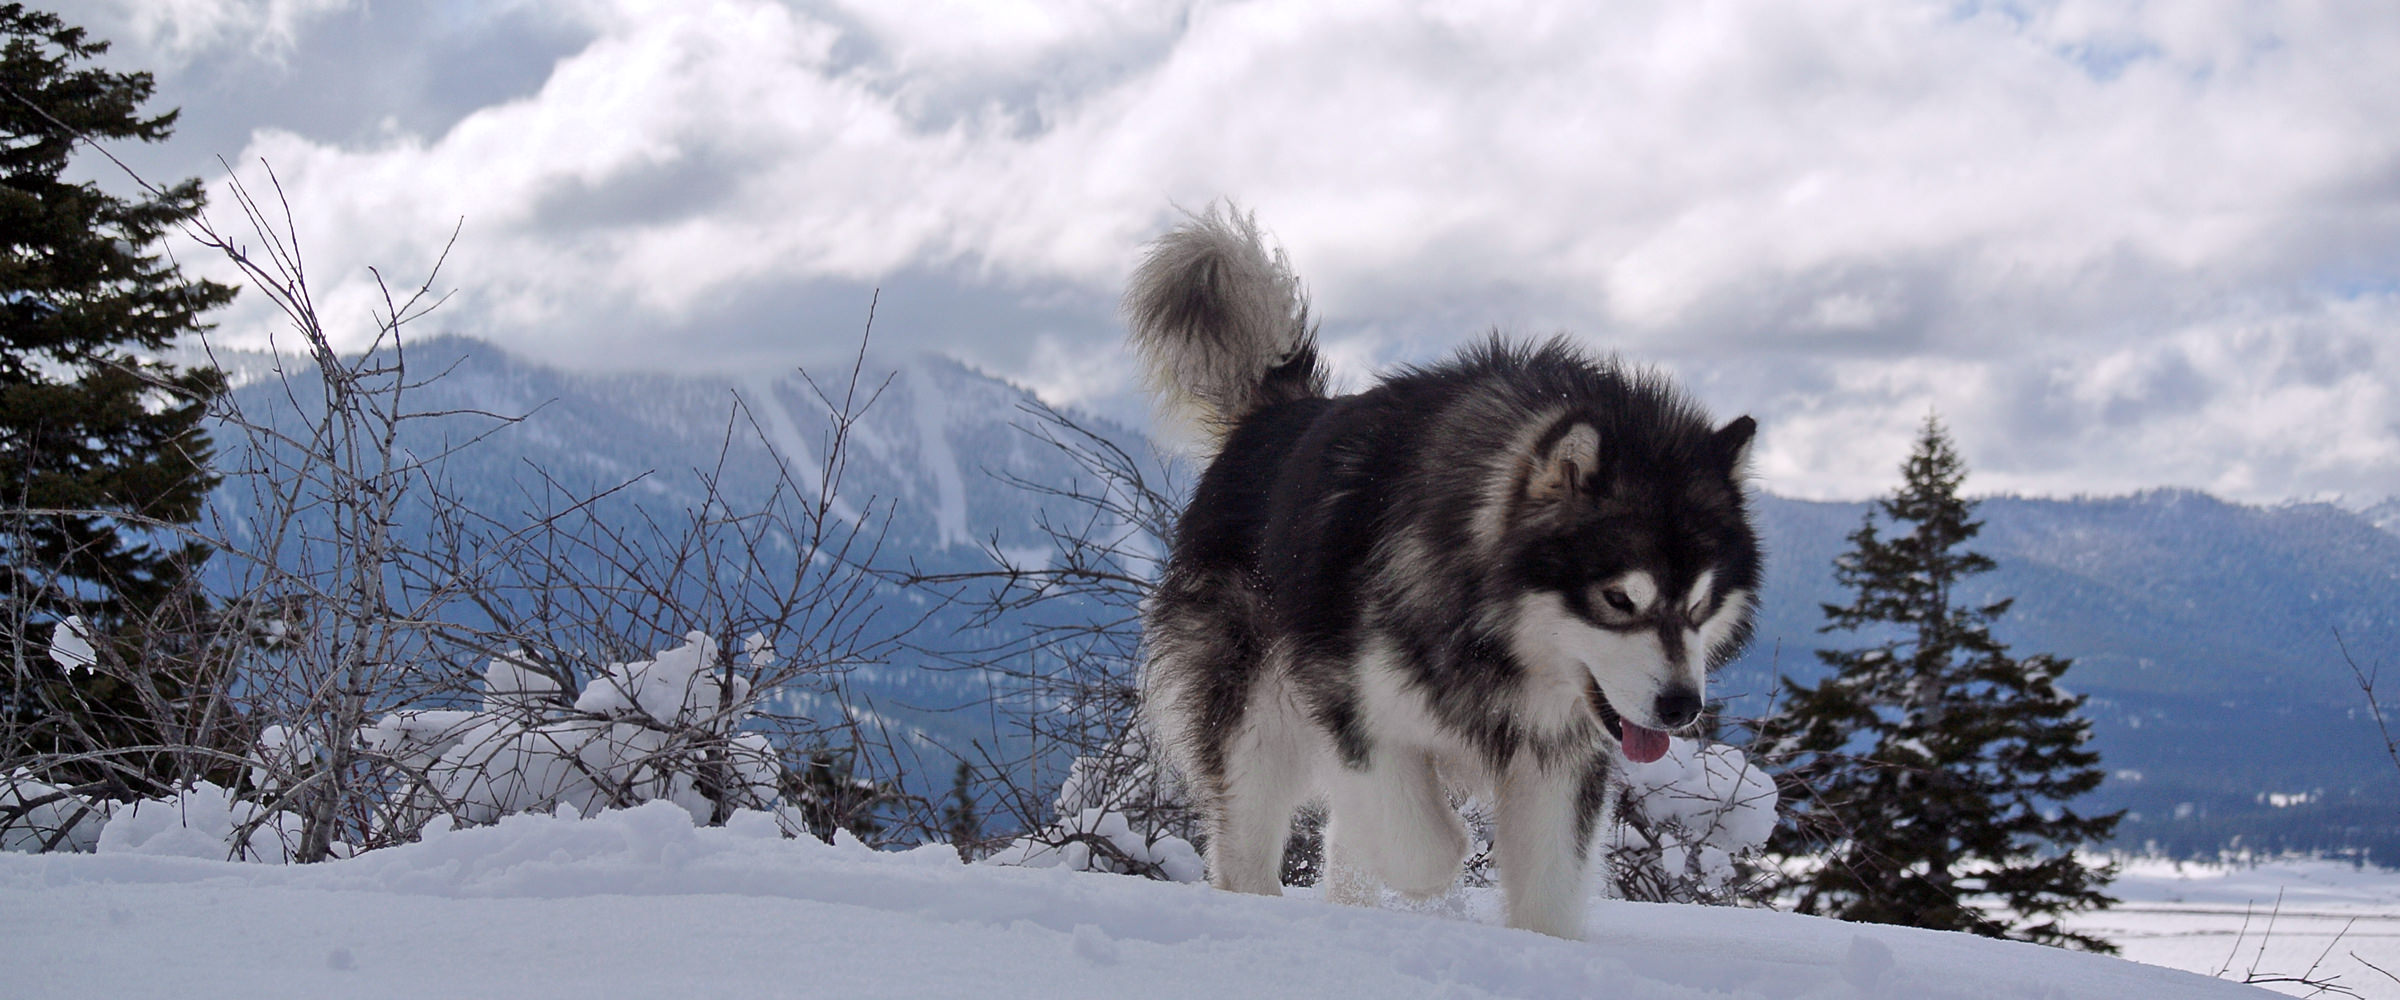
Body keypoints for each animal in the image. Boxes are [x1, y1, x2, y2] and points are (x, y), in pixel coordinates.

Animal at [1123, 205, 1766, 935]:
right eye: (1619, 600)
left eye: (1701, 605)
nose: (1683, 707)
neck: (1490, 635)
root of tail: (1278, 412)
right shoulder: (1354, 715)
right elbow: (1423, 849)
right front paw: (1442, 869)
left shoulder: (1558, 757)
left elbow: (1546, 888)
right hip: (1258, 715)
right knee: (1248, 837)